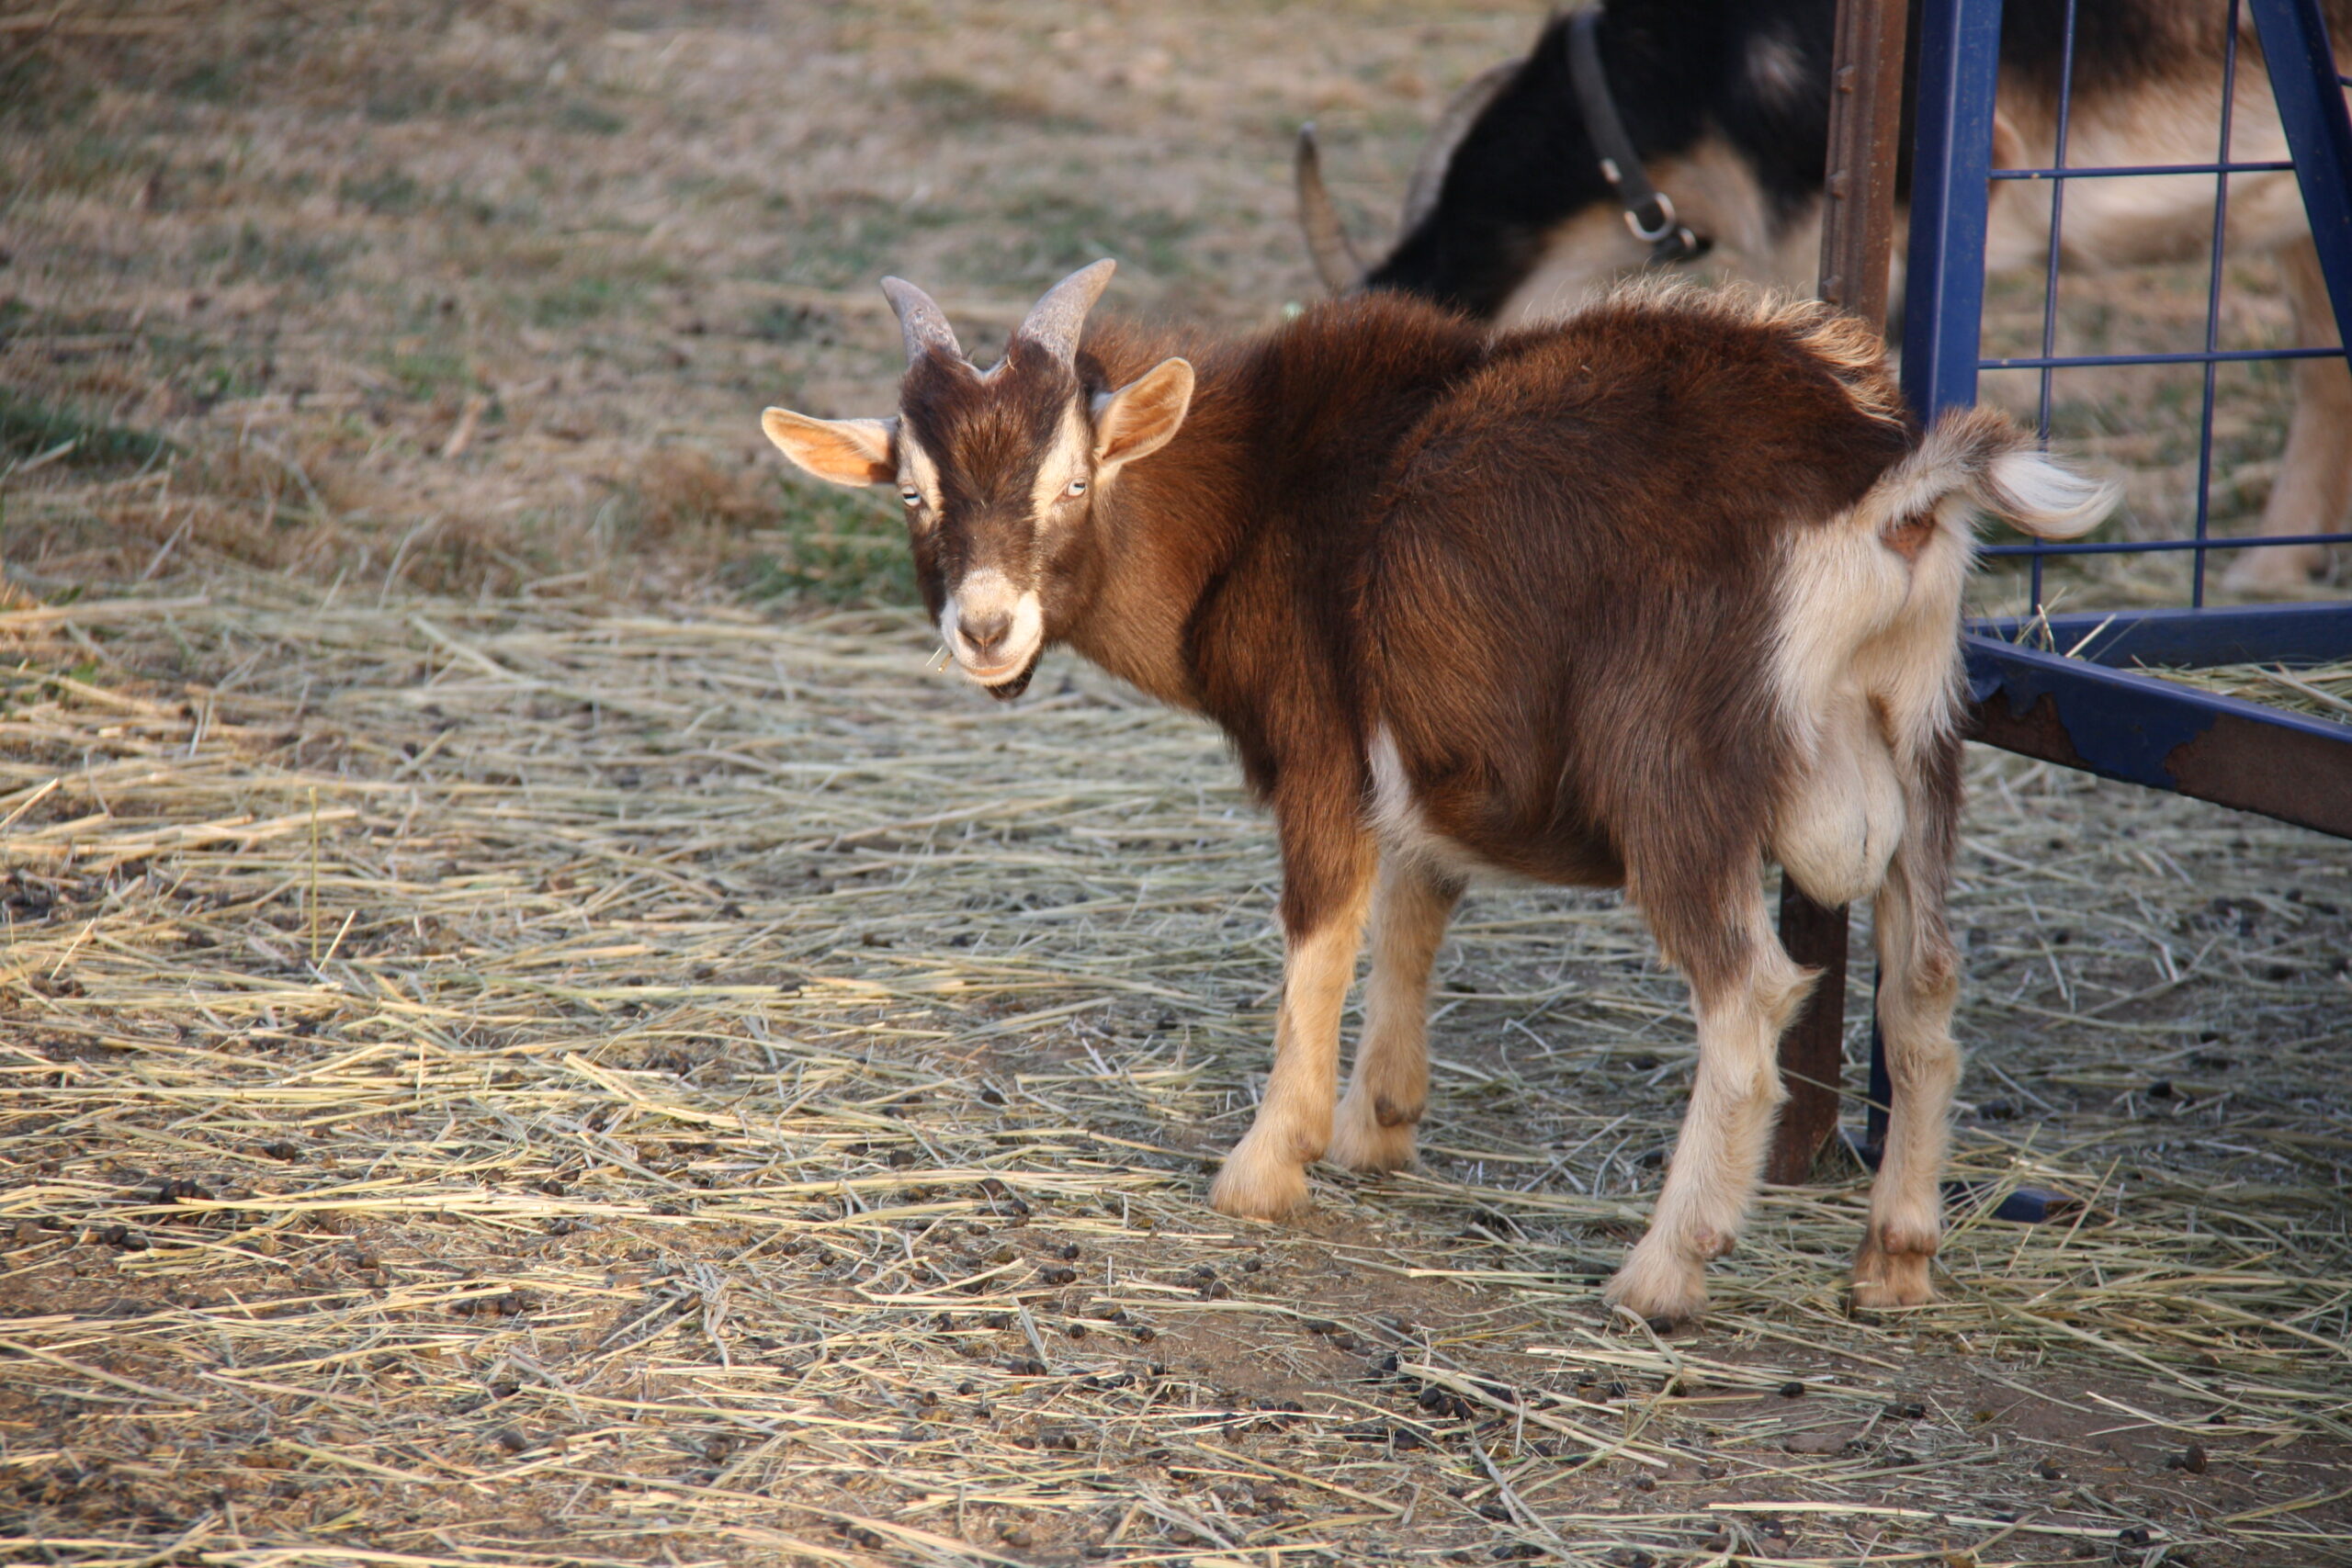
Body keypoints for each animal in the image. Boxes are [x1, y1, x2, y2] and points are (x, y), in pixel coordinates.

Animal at [766, 257, 2117, 1325]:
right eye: (913, 492)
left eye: (1073, 483)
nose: (986, 628)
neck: (1262, 489)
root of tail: (1879, 487)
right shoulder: (1415, 749)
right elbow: (1413, 915)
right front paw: (1381, 1129)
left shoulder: (1317, 750)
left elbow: (1320, 941)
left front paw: (1265, 1168)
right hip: (1923, 730)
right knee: (1925, 979)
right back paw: (1895, 1261)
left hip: (1674, 767)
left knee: (1751, 993)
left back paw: (1659, 1274)